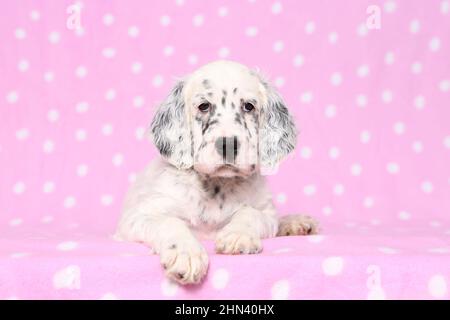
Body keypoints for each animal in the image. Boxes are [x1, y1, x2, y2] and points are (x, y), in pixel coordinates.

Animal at [116, 60, 320, 284]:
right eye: (204, 106)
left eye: (248, 106)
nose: (228, 145)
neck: (217, 186)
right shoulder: (137, 218)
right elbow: (170, 222)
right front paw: (186, 253)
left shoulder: (266, 213)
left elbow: (251, 213)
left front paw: (238, 234)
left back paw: (297, 222)